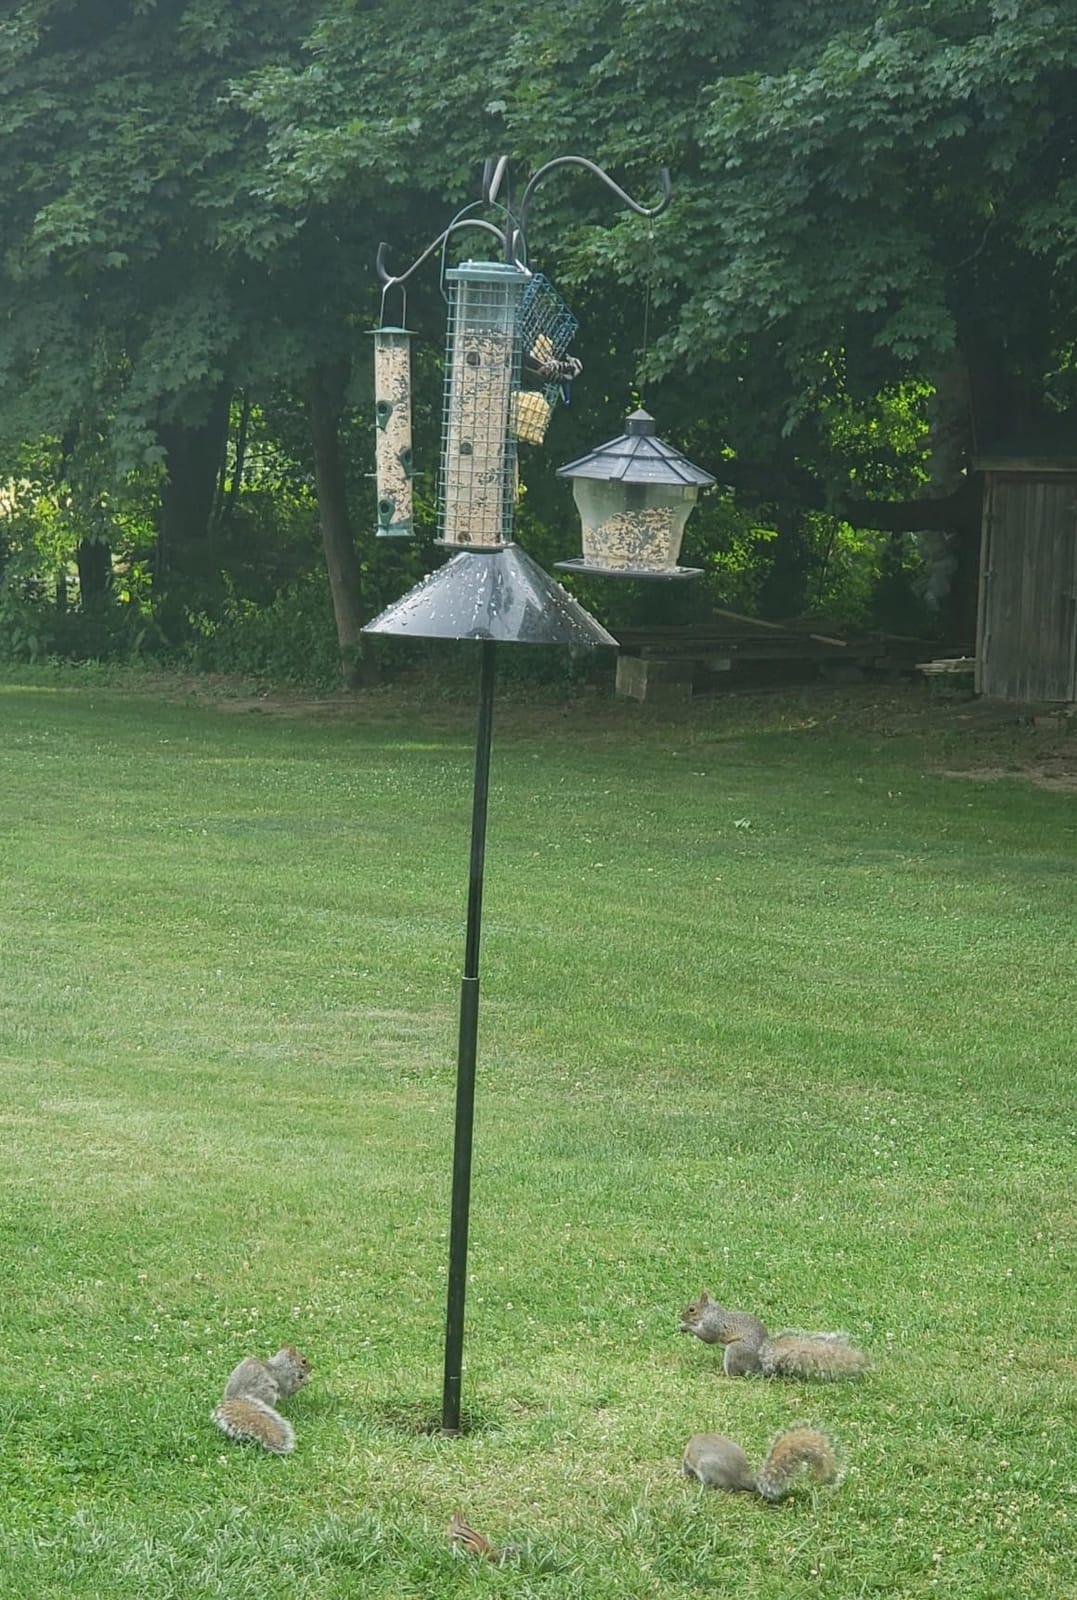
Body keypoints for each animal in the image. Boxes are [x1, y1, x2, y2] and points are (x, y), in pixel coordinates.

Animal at [679, 1293, 867, 1379]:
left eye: (692, 1309)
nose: (681, 1317)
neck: (711, 1312)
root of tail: (760, 1366)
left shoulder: (714, 1325)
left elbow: (708, 1337)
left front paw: (686, 1326)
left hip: (735, 1350)